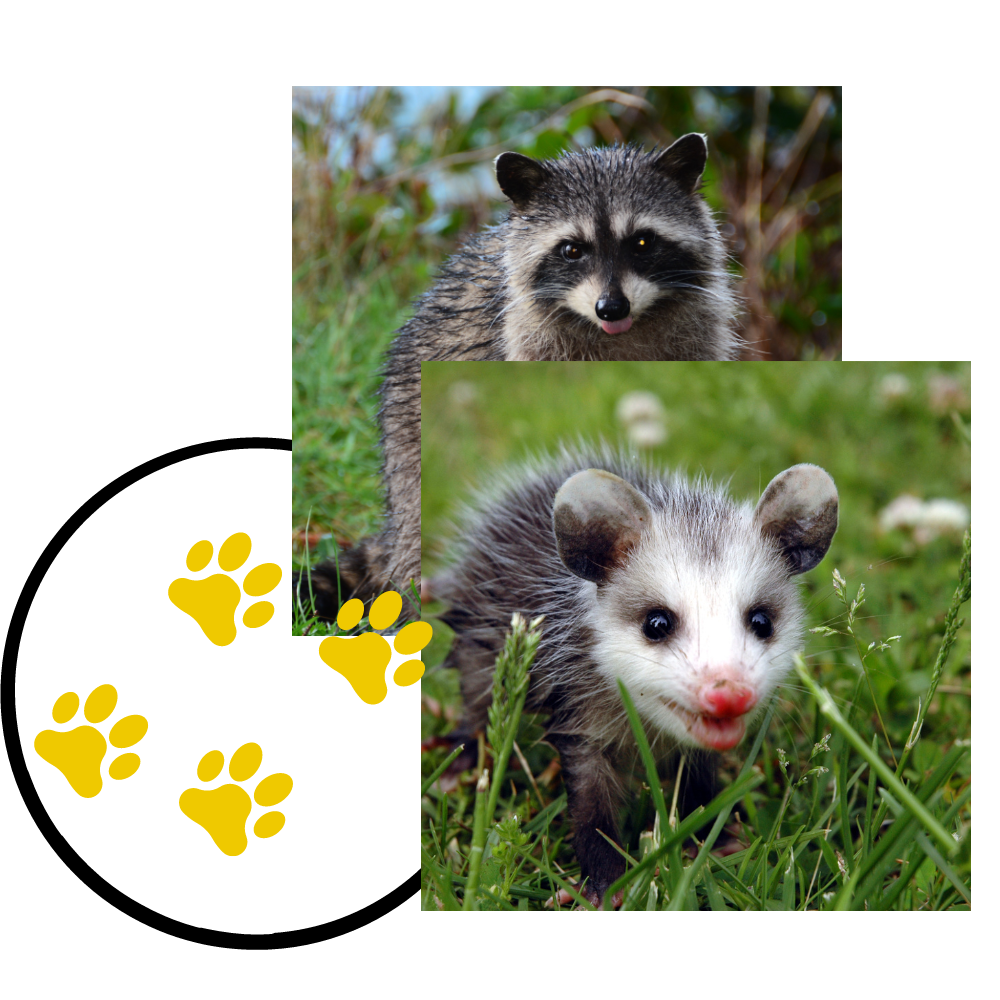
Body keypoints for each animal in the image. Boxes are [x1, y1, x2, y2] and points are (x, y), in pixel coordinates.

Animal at [296, 135, 741, 623]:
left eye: (643, 241)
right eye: (571, 249)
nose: (611, 308)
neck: (622, 329)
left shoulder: (697, 332)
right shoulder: (524, 335)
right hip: (406, 437)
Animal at [430, 446, 838, 907]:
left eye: (762, 621)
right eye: (656, 624)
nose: (730, 695)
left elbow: (699, 780)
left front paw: (715, 843)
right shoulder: (576, 702)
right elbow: (590, 801)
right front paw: (604, 887)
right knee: (479, 696)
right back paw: (461, 759)